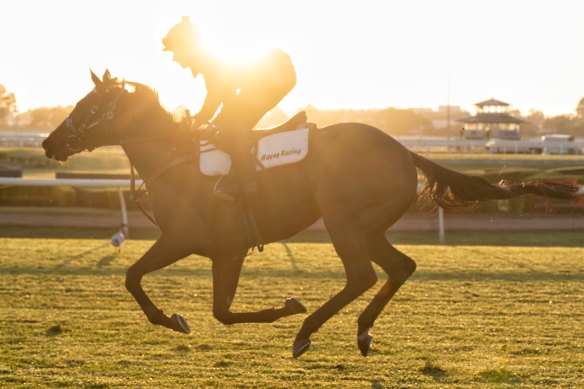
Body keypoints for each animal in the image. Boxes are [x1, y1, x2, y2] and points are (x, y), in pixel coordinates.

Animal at [43, 69, 580, 358]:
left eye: (87, 106)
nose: (49, 143)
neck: (177, 161)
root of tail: (405, 152)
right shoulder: (226, 251)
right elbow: (221, 311)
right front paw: (280, 307)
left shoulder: (186, 238)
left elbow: (133, 278)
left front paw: (176, 319)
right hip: (366, 224)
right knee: (399, 267)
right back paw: (361, 330)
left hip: (341, 217)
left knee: (363, 275)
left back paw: (306, 333)